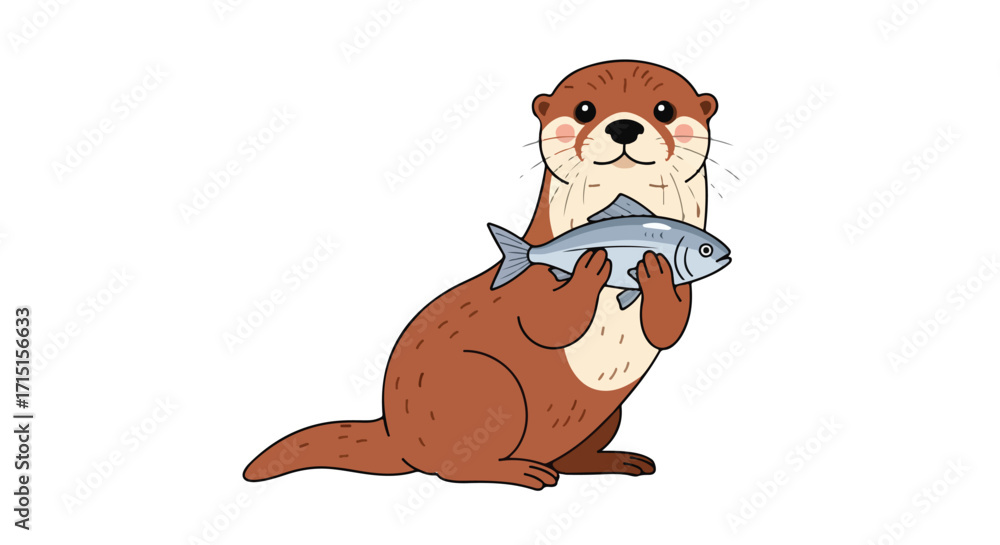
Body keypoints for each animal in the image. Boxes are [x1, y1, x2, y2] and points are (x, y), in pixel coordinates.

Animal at [244, 60, 719, 489]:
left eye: (664, 109)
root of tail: (394, 431)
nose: (623, 127)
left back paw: (614, 461)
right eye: (585, 109)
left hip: (608, 415)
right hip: (488, 384)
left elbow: (666, 330)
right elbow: (548, 325)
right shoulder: (534, 289)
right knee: (453, 469)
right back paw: (521, 472)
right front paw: (590, 269)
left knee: (572, 458)